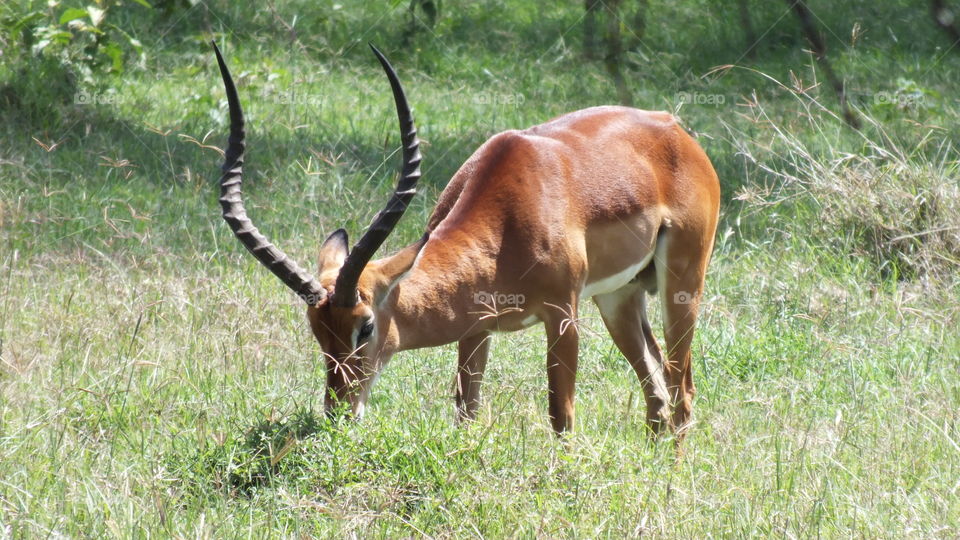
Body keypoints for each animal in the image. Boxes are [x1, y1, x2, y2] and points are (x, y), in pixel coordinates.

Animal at [212, 42, 720, 438]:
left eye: (365, 326)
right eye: (317, 331)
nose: (339, 413)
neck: (510, 220)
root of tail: (675, 129)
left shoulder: (562, 313)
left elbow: (561, 416)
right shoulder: (476, 329)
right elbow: (465, 413)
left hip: (681, 284)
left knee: (683, 388)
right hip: (619, 296)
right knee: (656, 388)